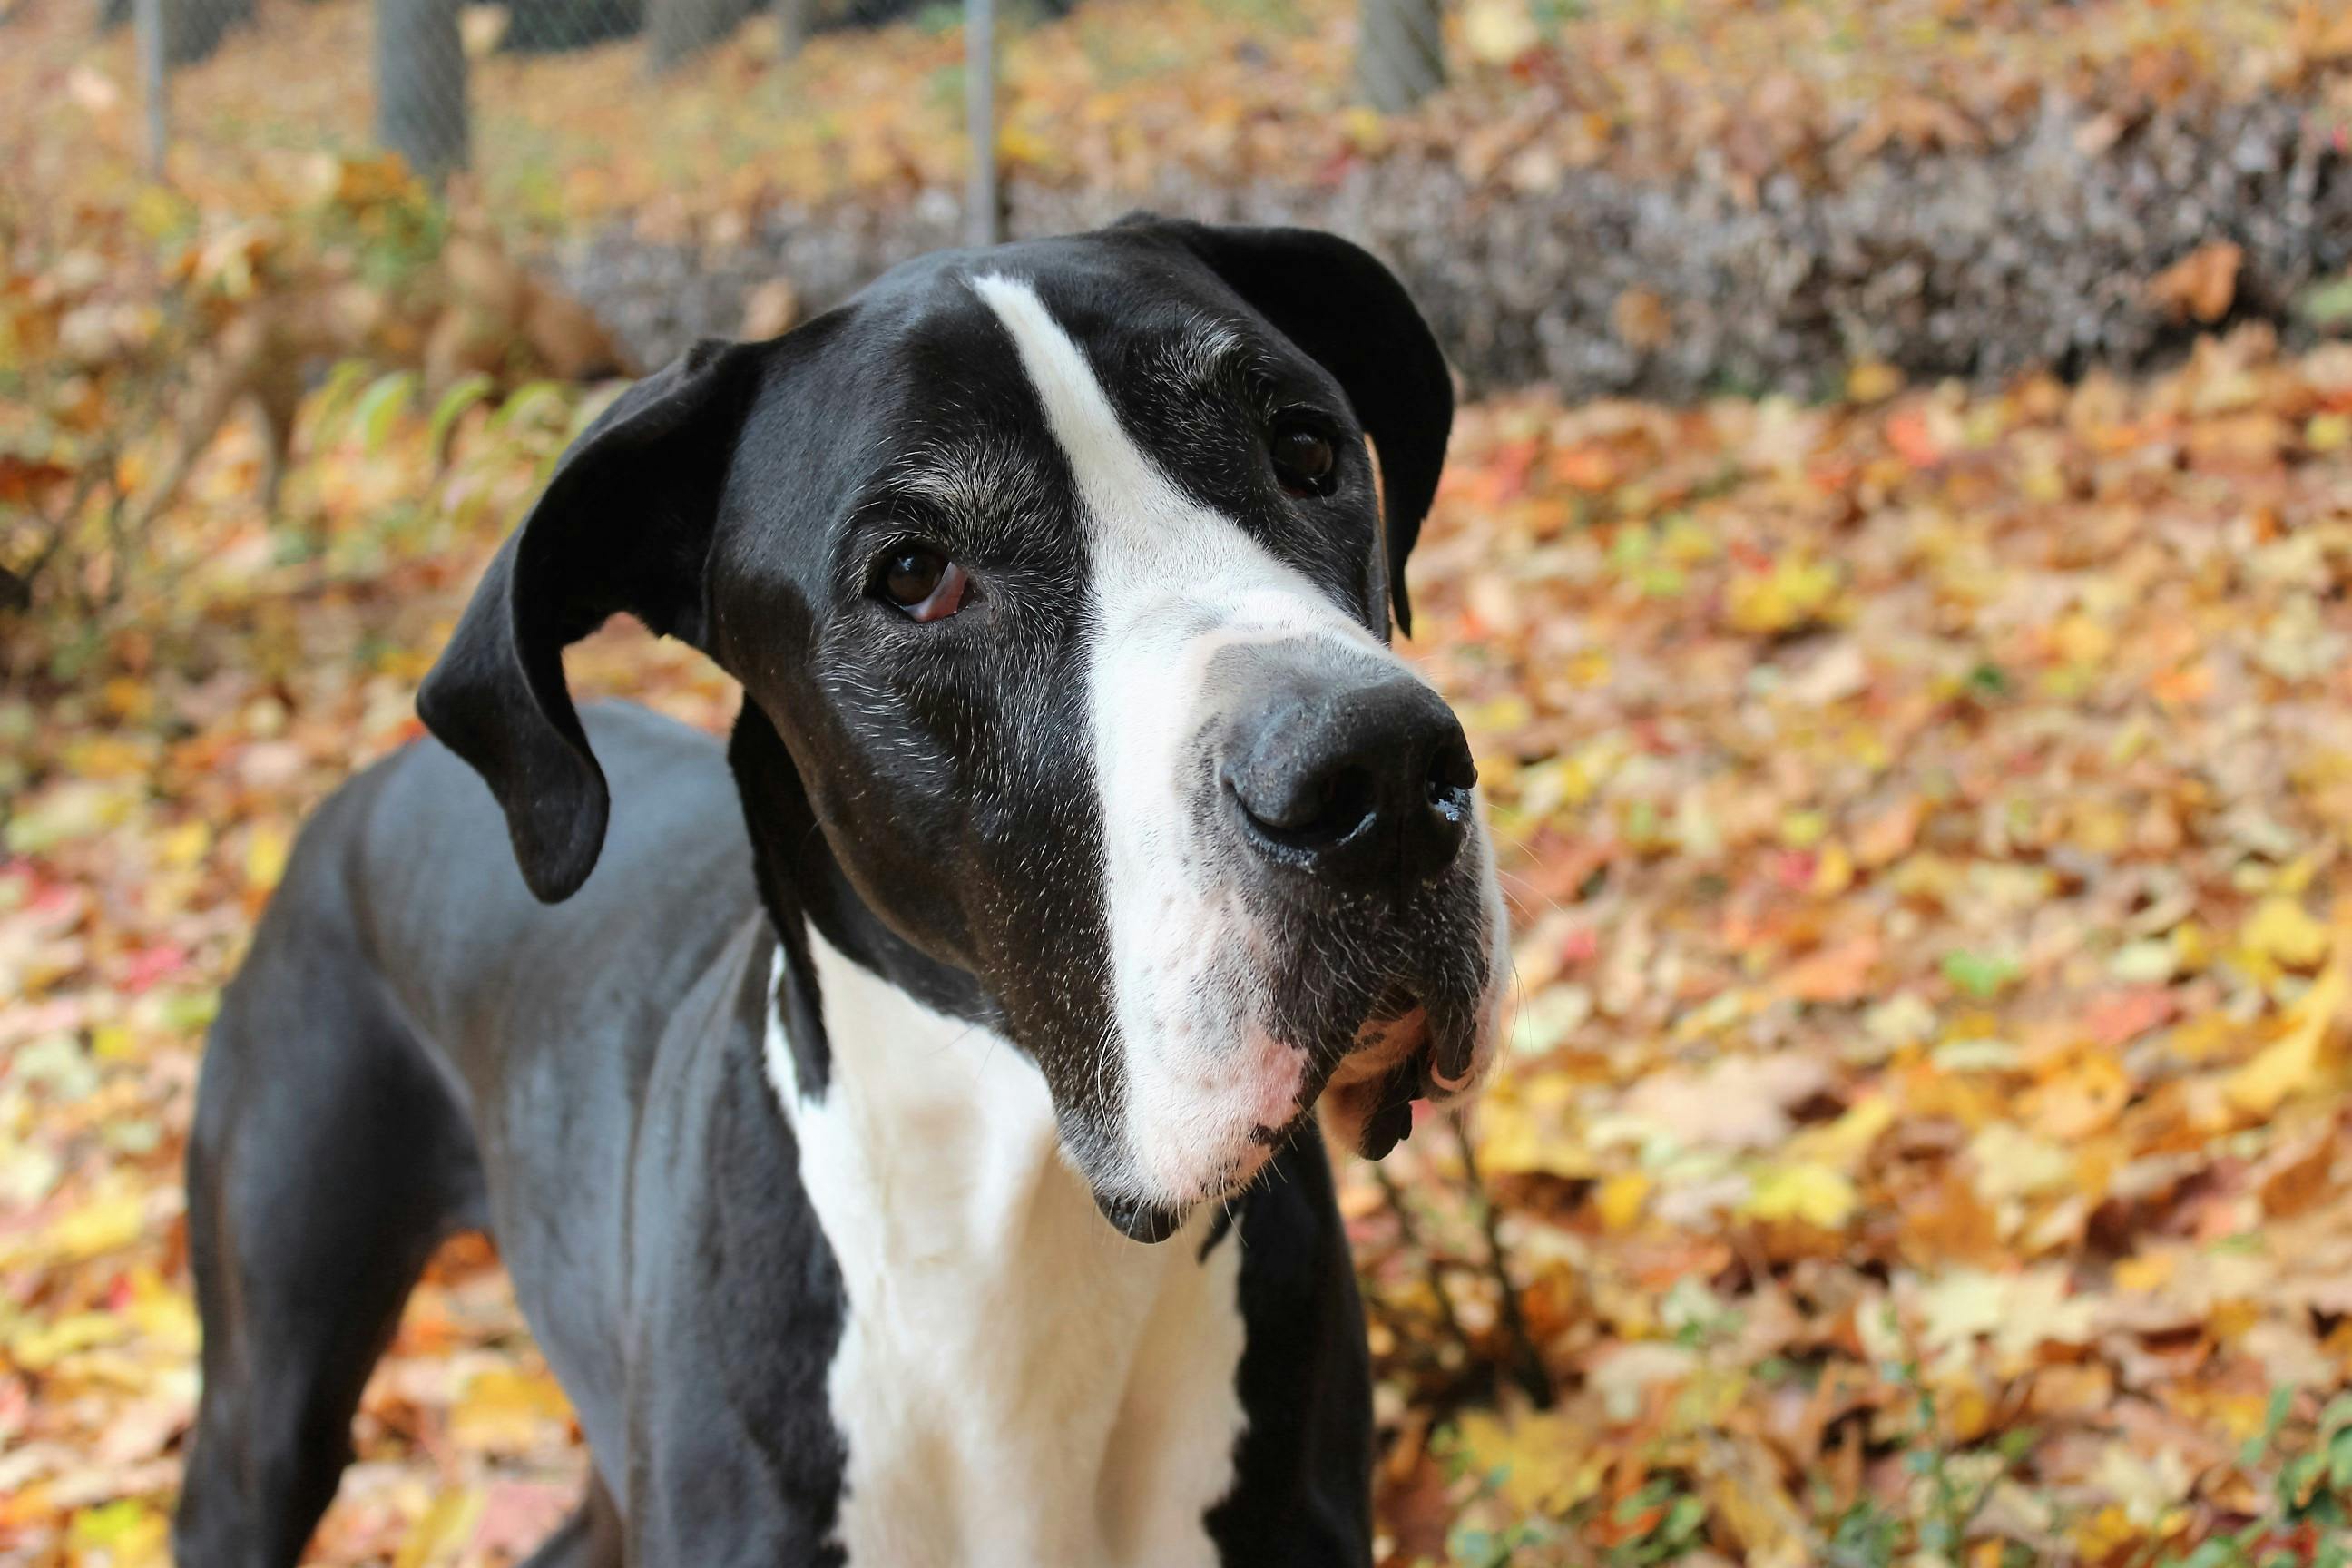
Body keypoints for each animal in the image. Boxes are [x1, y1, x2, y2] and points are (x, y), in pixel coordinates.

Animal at [178, 217, 1504, 1568]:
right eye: (914, 574)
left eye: (1306, 449)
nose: (1383, 778)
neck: (1020, 1235)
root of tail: (364, 783)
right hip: (265, 1402)